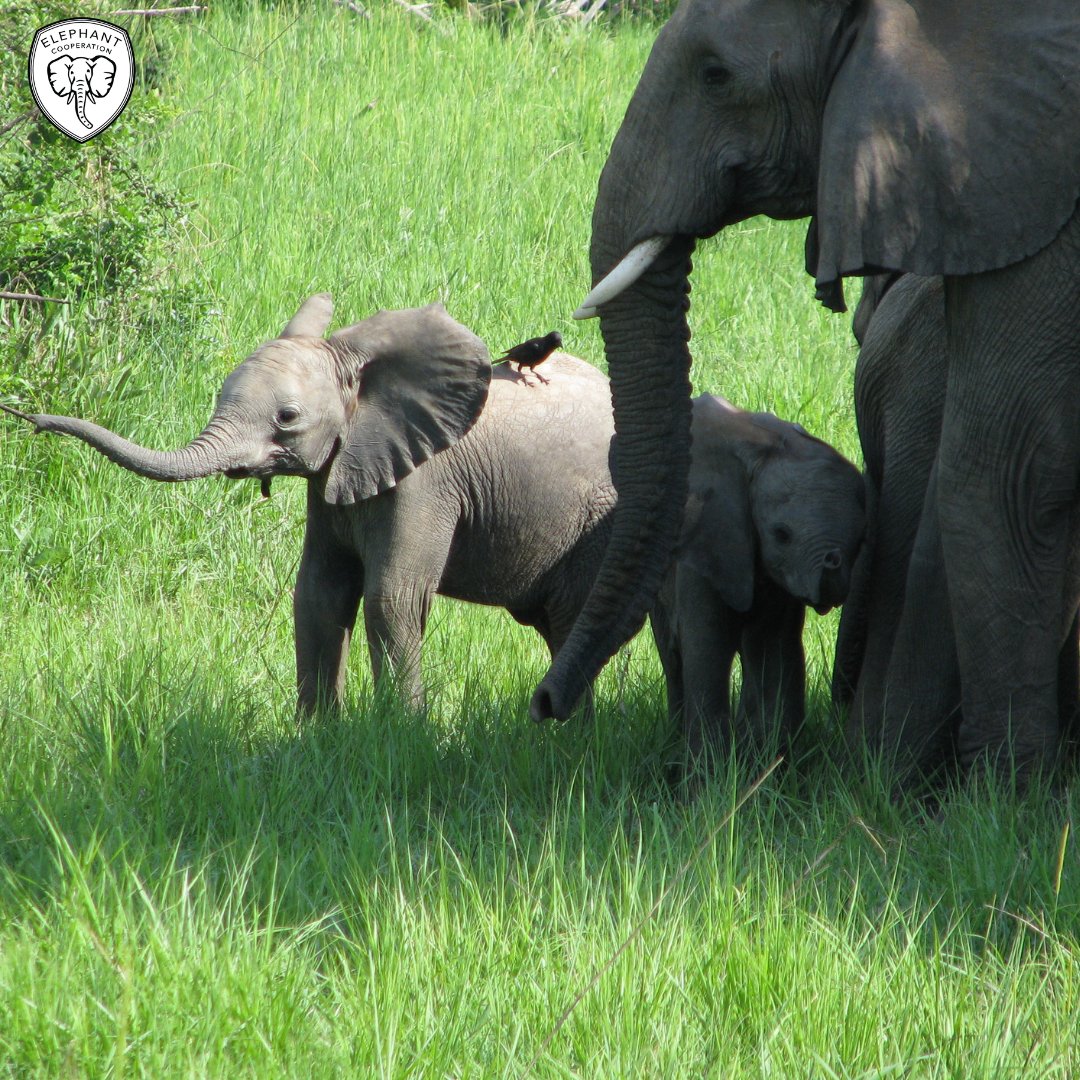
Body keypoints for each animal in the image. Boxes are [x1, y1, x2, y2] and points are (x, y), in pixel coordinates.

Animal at [8, 295, 618, 714]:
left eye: (288, 418)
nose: (31, 419)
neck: (358, 368)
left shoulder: (426, 481)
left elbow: (392, 599)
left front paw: (404, 732)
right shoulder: (335, 478)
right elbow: (319, 594)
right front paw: (317, 736)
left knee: (573, 620)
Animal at [650, 394, 864, 766]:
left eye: (860, 537)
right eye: (781, 534)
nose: (832, 564)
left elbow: (774, 650)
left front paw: (770, 768)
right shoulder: (707, 542)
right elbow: (707, 647)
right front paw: (709, 775)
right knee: (673, 652)